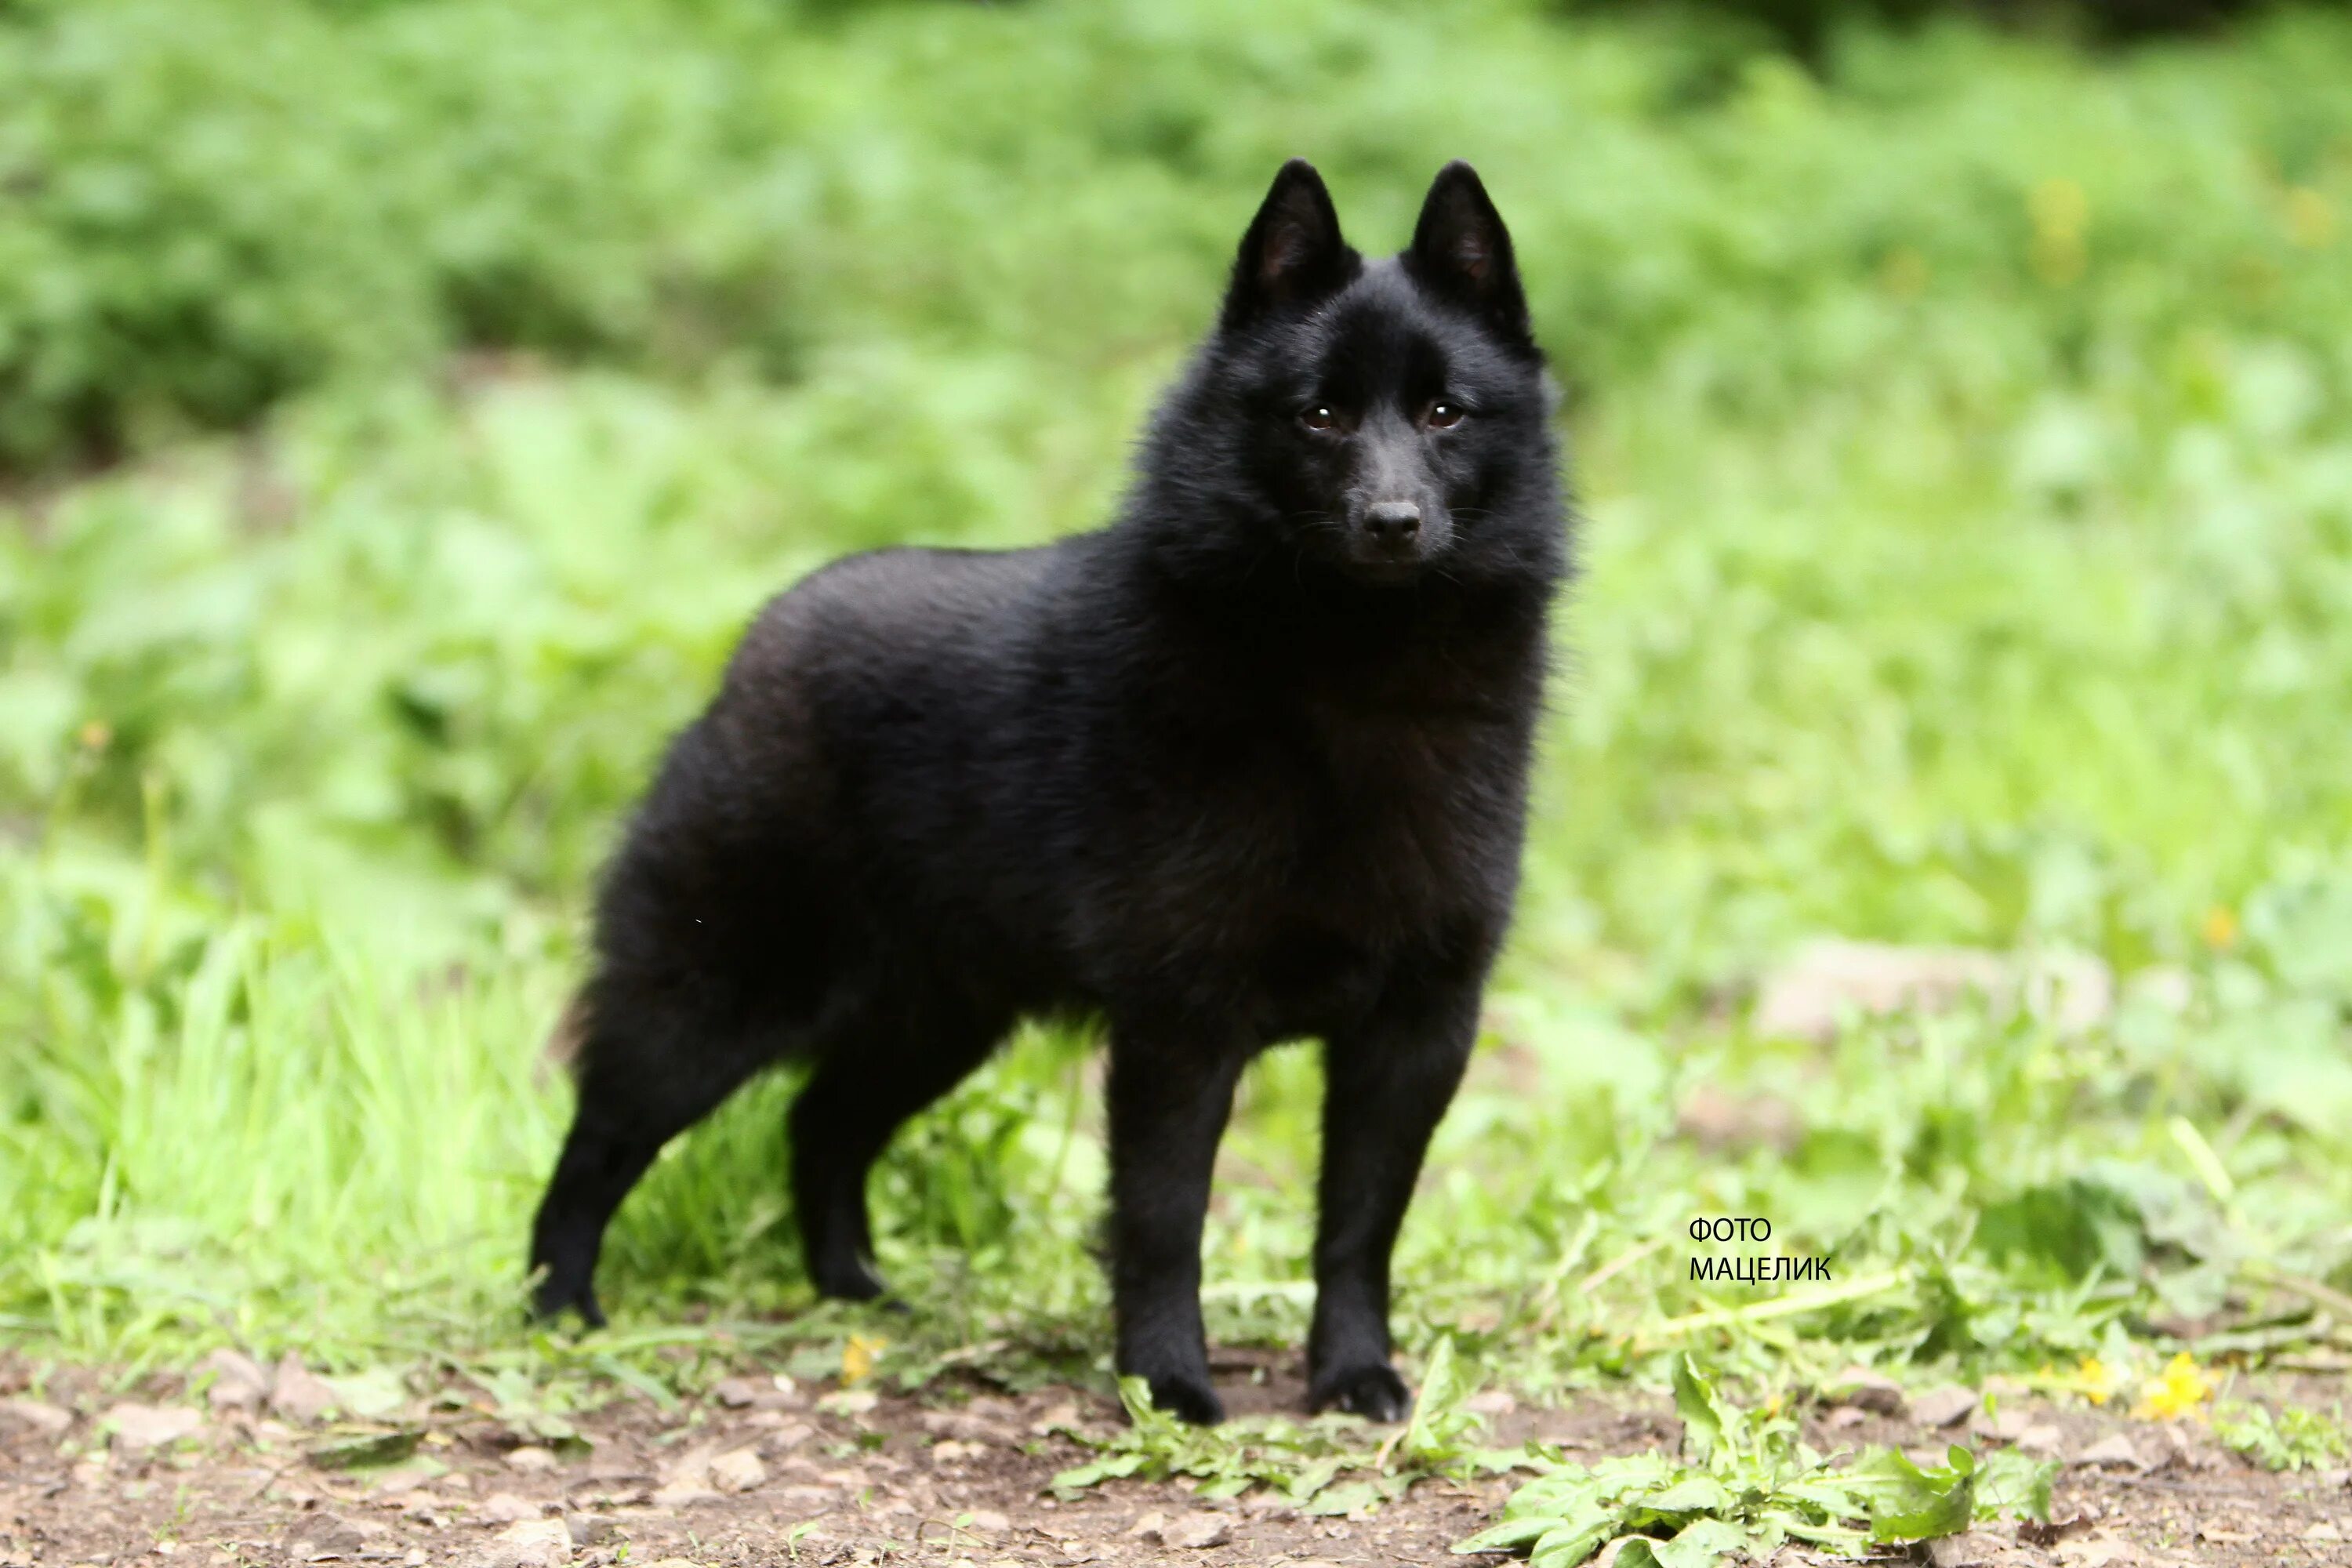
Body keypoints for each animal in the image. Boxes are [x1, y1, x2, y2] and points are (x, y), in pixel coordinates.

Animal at [529, 156, 1562, 1420]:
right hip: (714, 996)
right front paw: (1167, 1381)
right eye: (1319, 414)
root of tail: (752, 650)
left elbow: (1360, 1226)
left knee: (821, 1124)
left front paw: (1354, 1374)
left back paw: (854, 1292)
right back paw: (557, 1305)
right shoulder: (1181, 1026)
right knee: (602, 1137)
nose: (1393, 522)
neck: (1350, 682)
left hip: (935, 1016)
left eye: (1443, 412)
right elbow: (1163, 1218)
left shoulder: (1416, 1029)